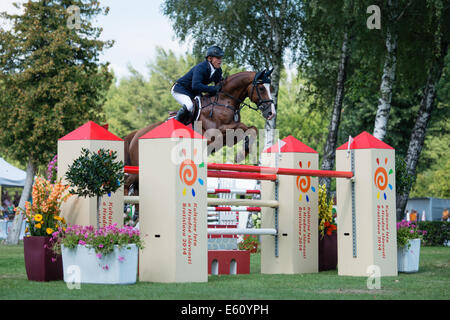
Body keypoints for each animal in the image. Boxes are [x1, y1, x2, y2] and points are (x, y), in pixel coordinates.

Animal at [125, 69, 276, 195]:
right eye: (261, 88)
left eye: (271, 88)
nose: (271, 113)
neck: (224, 101)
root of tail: (136, 134)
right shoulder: (214, 135)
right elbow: (242, 127)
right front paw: (240, 156)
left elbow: (251, 129)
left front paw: (241, 154)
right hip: (138, 168)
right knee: (127, 184)